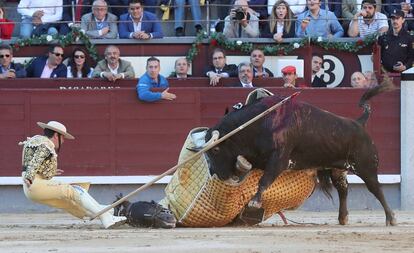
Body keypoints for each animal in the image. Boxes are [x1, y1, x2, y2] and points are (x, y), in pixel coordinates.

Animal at [205, 86, 396, 226]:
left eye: (215, 150)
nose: (217, 174)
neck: (259, 123)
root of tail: (358, 123)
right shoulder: (258, 159)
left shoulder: (279, 159)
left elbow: (264, 180)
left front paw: (254, 202)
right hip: (338, 168)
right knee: (343, 189)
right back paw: (343, 218)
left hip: (366, 166)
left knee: (375, 188)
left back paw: (391, 218)